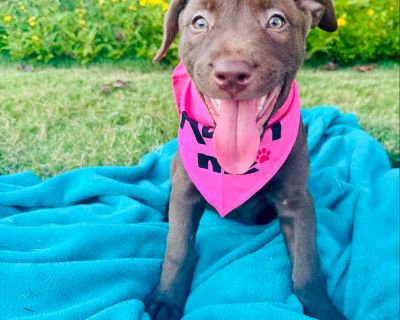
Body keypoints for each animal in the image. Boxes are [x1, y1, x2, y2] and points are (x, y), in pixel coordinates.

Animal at [145, 0, 346, 320]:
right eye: (199, 23)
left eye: (276, 21)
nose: (231, 74)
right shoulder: (186, 192)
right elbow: (178, 249)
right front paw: (166, 298)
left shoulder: (296, 201)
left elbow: (307, 266)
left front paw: (322, 308)